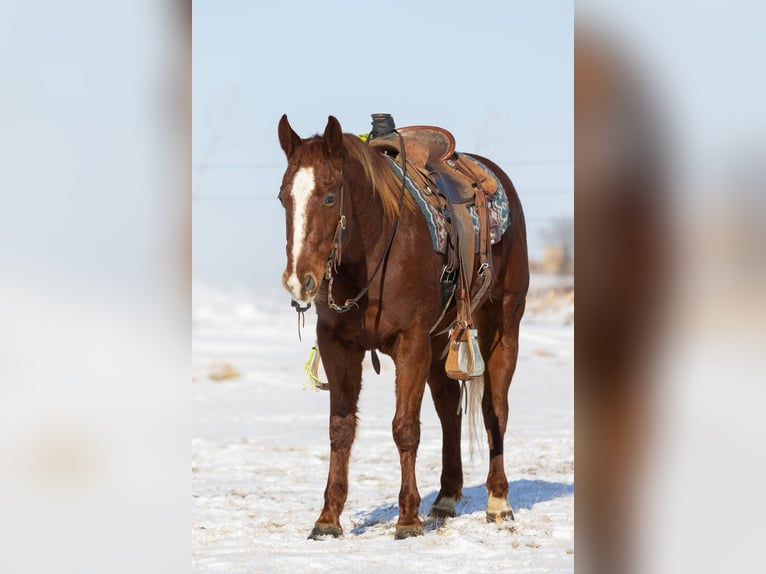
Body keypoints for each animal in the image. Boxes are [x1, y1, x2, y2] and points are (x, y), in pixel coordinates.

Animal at [277, 114, 529, 539]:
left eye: (328, 198)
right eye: (283, 198)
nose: (299, 280)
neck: (376, 250)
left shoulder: (411, 344)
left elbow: (405, 427)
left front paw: (408, 520)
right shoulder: (337, 345)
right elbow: (340, 428)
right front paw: (328, 519)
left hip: (503, 325)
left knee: (495, 410)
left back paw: (498, 502)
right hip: (441, 341)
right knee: (449, 411)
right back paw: (445, 499)